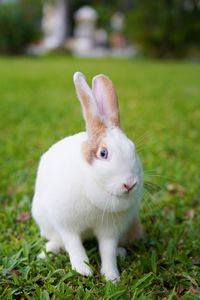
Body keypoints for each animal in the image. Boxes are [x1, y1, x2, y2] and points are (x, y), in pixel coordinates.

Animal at [31, 72, 144, 282]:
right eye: (103, 153)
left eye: (133, 148)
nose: (130, 184)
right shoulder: (67, 225)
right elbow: (74, 246)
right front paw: (83, 270)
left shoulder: (110, 232)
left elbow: (107, 251)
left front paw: (111, 277)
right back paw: (48, 250)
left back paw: (121, 252)